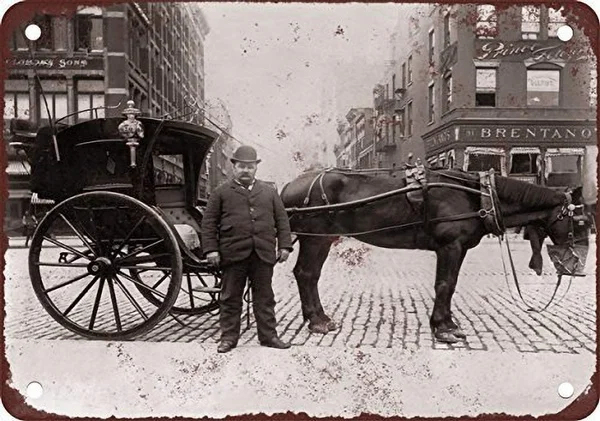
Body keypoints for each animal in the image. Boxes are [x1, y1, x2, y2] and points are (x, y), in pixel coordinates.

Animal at [280, 167, 590, 343]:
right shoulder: (450, 246)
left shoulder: (458, 248)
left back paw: (317, 317)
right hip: (315, 239)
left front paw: (448, 322)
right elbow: (445, 285)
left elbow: (450, 285)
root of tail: (287, 188)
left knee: (307, 276)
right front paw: (443, 328)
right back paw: (318, 321)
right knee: (307, 274)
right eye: (581, 221)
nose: (580, 269)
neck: (477, 195)